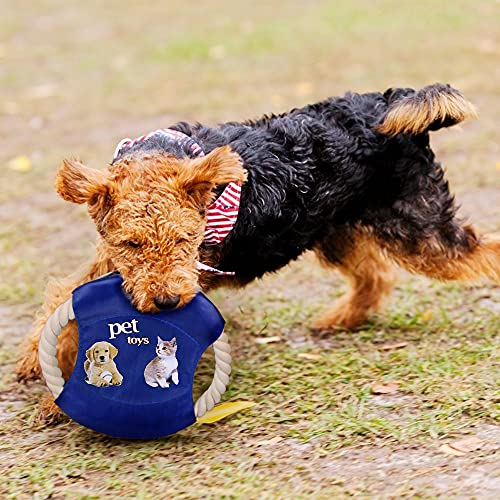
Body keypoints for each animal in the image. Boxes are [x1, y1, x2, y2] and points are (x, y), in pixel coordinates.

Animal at [16, 84, 500, 420]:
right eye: (131, 243)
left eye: (186, 239)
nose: (168, 300)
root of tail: (388, 105)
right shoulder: (110, 261)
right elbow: (63, 297)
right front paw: (34, 360)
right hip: (337, 231)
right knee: (375, 277)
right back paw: (339, 320)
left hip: (421, 231)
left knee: (481, 252)